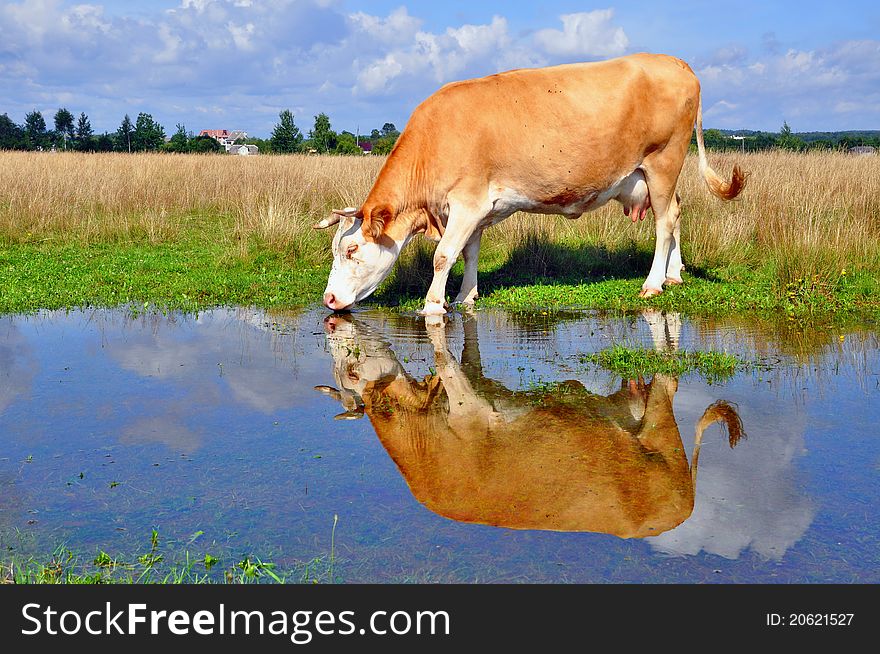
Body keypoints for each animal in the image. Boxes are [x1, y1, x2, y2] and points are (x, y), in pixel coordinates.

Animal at [312, 53, 744, 316]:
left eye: (351, 250)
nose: (329, 298)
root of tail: (676, 62)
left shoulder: (467, 203)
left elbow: (443, 256)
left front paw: (434, 304)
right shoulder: (476, 209)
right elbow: (469, 252)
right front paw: (466, 295)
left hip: (663, 161)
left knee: (665, 221)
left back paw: (653, 283)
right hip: (655, 175)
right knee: (676, 212)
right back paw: (674, 273)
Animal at [314, 314, 744, 540]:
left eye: (352, 372)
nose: (330, 318)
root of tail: (686, 506)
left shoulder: (469, 409)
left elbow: (445, 360)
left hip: (663, 430)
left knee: (668, 380)